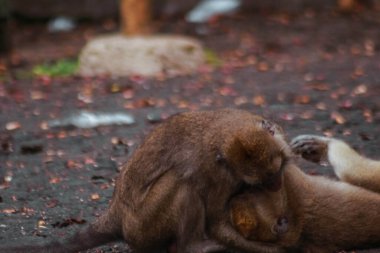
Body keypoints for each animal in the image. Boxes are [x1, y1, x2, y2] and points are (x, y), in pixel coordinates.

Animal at [1, 109, 290, 253]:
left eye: (276, 173)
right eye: (260, 182)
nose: (276, 186)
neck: (225, 129)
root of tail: (117, 212)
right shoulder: (218, 173)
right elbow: (217, 218)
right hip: (143, 226)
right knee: (182, 183)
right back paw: (192, 246)